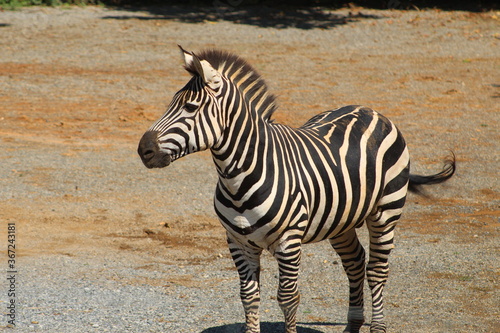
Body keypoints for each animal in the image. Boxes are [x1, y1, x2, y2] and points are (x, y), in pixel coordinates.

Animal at [138, 47, 458, 332]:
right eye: (171, 103)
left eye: (190, 108)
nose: (143, 150)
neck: (239, 177)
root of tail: (370, 110)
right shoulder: (237, 242)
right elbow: (248, 298)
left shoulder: (288, 241)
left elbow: (288, 298)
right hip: (340, 220)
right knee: (355, 262)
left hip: (385, 211)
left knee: (377, 271)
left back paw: (377, 326)